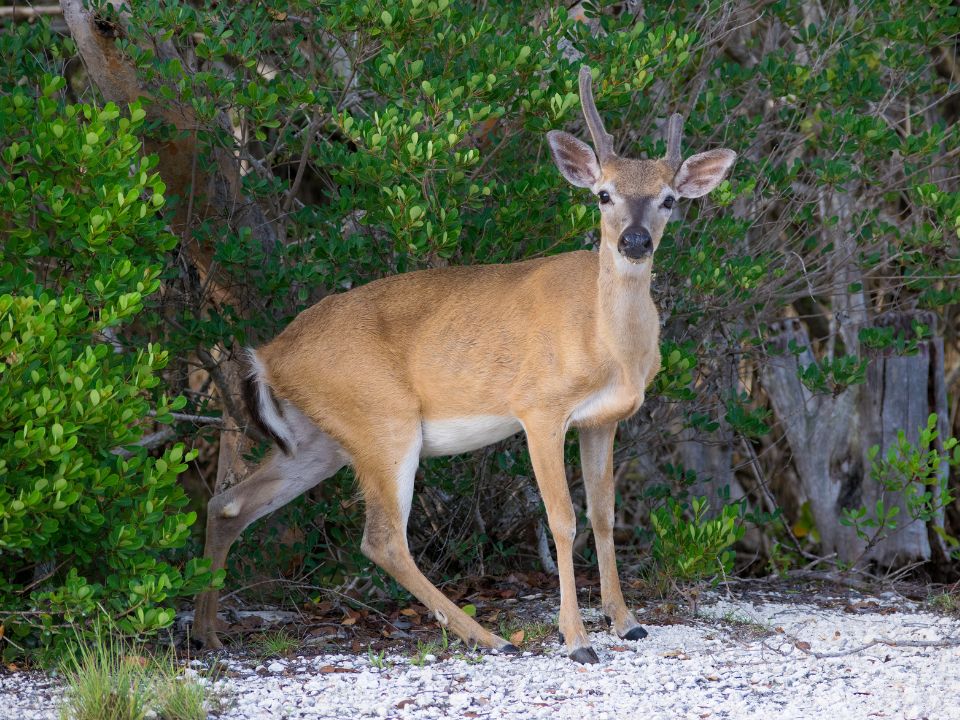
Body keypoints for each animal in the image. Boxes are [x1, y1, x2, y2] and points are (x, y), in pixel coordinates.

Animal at [192, 66, 736, 663]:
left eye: (669, 200)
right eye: (603, 194)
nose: (634, 241)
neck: (605, 342)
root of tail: (267, 355)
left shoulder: (603, 419)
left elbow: (604, 515)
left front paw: (626, 622)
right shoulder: (538, 407)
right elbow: (562, 520)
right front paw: (576, 639)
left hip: (320, 440)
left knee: (228, 503)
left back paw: (207, 633)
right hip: (382, 419)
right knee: (382, 538)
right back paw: (486, 634)